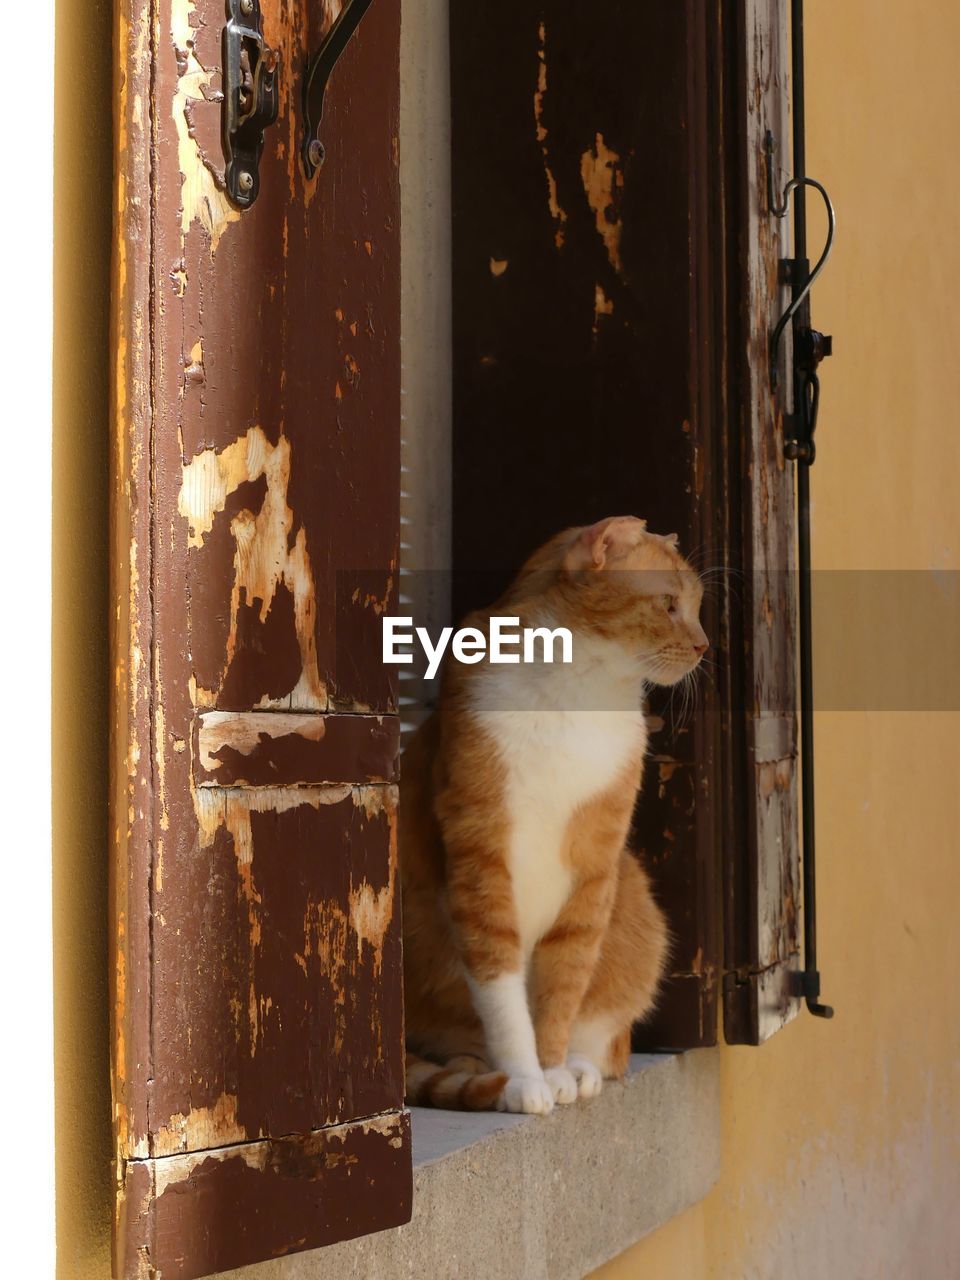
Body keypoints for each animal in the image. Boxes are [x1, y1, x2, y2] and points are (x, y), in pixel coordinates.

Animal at [401, 517, 711, 1111]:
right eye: (669, 604)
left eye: (699, 605)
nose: (705, 645)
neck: (578, 692)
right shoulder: (481, 851)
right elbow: (500, 986)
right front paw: (524, 1079)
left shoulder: (596, 869)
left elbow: (565, 984)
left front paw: (553, 1069)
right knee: (461, 1045)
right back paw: (478, 1071)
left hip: (633, 893)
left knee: (608, 1038)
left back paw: (580, 1066)